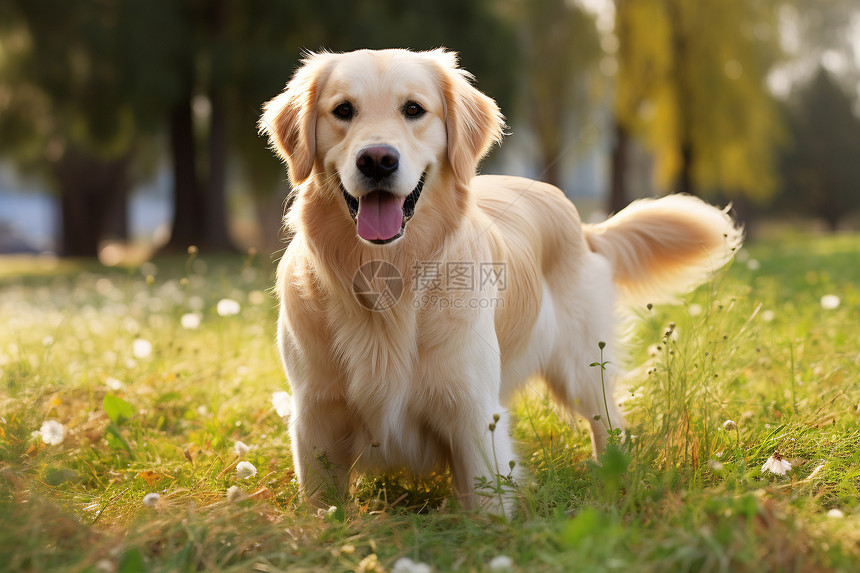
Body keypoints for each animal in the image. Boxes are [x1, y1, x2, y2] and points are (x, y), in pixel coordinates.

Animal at [258, 49, 744, 512]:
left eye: (414, 109)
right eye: (343, 110)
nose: (377, 160)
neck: (388, 282)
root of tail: (580, 222)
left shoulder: (473, 413)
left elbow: (489, 507)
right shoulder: (315, 416)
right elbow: (322, 506)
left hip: (583, 366)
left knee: (609, 423)